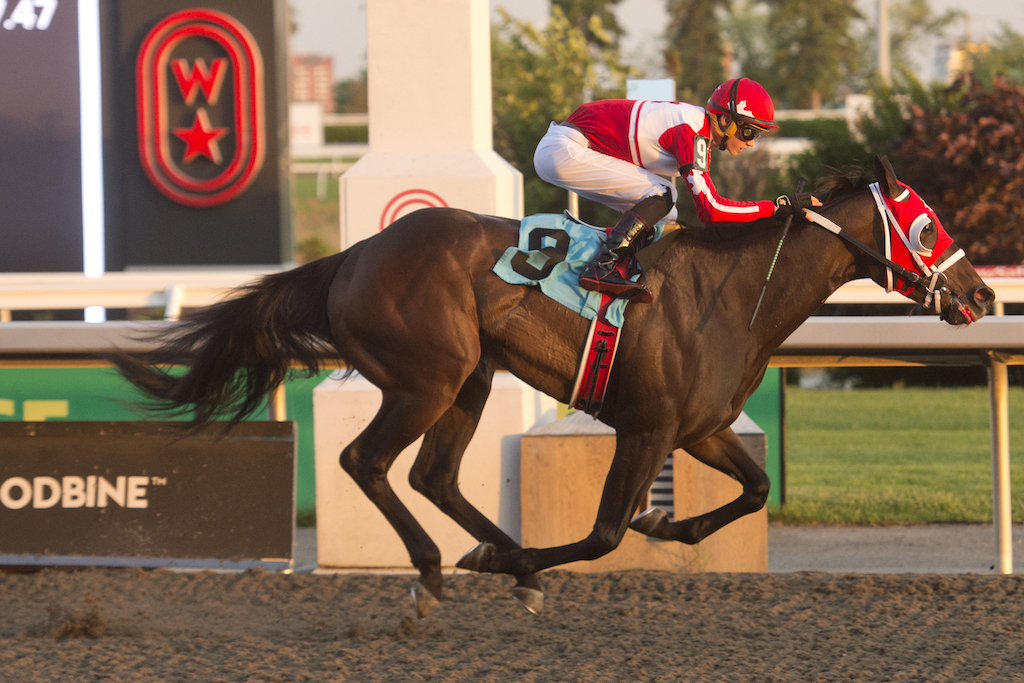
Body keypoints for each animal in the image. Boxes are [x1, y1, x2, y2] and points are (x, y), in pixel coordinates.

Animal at [114, 154, 991, 618]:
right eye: (925, 225)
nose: (981, 294)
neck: (735, 290)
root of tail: (352, 255)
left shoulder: (701, 427)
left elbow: (756, 487)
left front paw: (667, 527)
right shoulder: (645, 427)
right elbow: (605, 532)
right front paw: (545, 555)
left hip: (469, 376)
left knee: (435, 474)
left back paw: (509, 563)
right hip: (427, 376)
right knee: (367, 461)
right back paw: (439, 569)